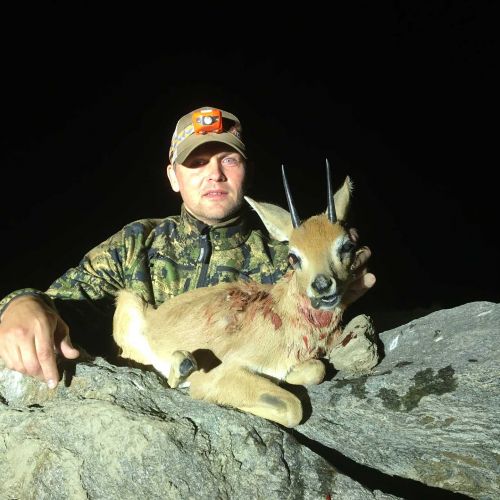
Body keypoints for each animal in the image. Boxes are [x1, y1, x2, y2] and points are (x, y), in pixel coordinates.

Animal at [113, 160, 365, 428]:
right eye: (293, 257)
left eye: (347, 246)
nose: (322, 285)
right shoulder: (223, 372)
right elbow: (292, 409)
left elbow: (317, 370)